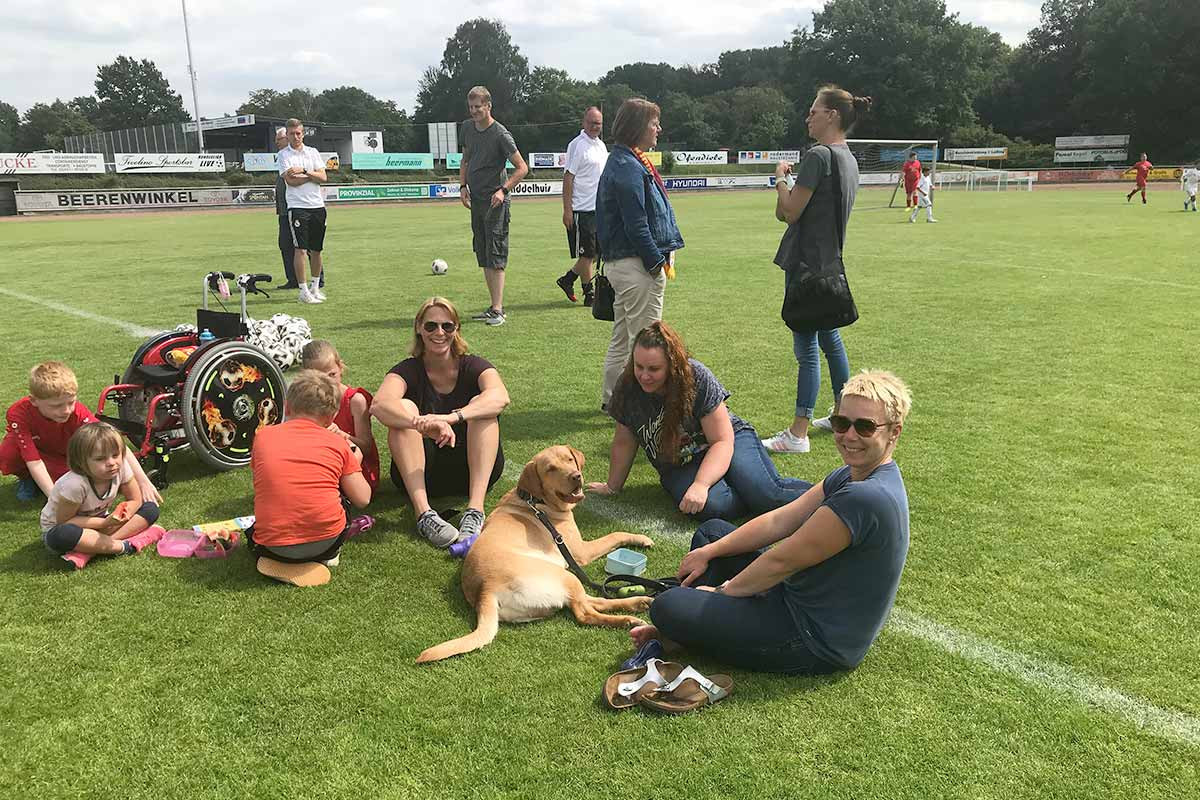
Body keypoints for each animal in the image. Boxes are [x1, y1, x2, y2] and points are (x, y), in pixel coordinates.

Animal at [415, 443, 657, 662]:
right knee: (585, 612)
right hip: (564, 575)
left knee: (591, 600)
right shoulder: (580, 551)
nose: (576, 476)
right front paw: (642, 537)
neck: (535, 500)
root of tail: (485, 590)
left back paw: (639, 602)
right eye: (550, 468)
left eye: (569, 459)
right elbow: (615, 534)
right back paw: (627, 619)